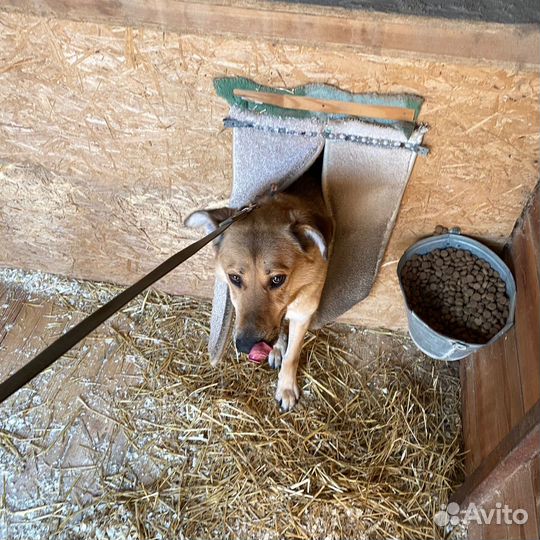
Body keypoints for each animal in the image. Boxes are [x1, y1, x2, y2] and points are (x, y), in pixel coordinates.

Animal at [184, 156, 332, 410]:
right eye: (235, 278)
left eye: (277, 279)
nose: (245, 346)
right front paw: (278, 348)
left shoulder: (303, 312)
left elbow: (293, 355)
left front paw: (286, 387)